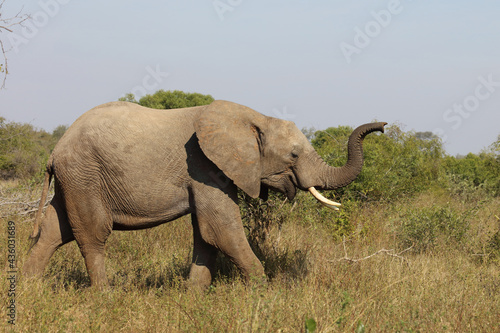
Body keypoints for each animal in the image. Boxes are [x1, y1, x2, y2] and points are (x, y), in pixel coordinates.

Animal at [24, 99, 386, 288]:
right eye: (294, 155)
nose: (381, 126)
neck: (254, 116)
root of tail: (54, 151)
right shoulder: (203, 166)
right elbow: (221, 230)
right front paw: (264, 293)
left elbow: (206, 235)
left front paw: (193, 297)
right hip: (84, 174)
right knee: (92, 235)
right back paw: (104, 296)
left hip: (74, 178)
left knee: (55, 231)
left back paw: (30, 291)